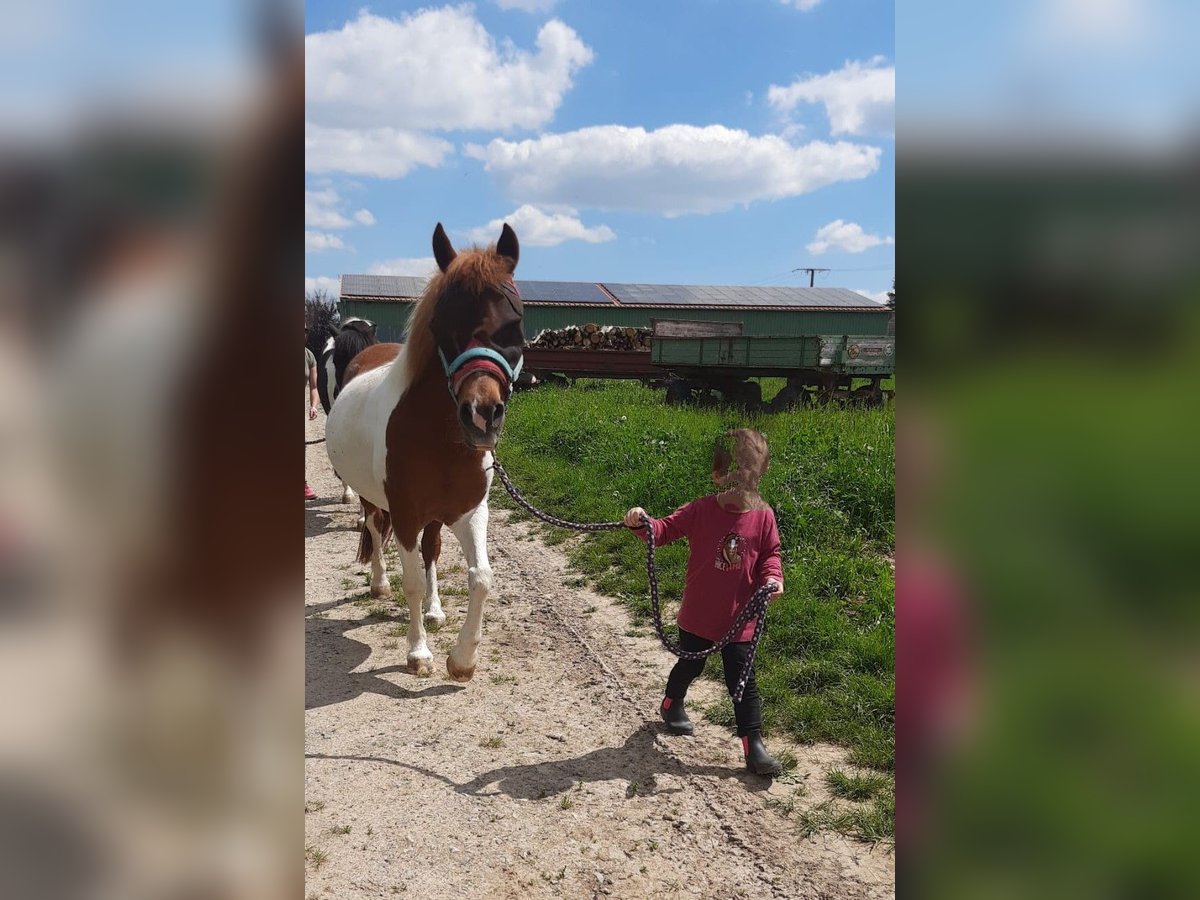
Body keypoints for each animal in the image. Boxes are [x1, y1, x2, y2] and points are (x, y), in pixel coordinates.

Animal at [324, 225, 525, 681]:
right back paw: (380, 583)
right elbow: (411, 580)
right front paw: (418, 654)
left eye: (514, 325)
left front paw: (462, 659)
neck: (440, 440)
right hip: (374, 500)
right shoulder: (405, 516)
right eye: (440, 325)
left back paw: (435, 611)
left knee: (432, 550)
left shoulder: (470, 511)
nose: (481, 415)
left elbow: (480, 577)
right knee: (374, 529)